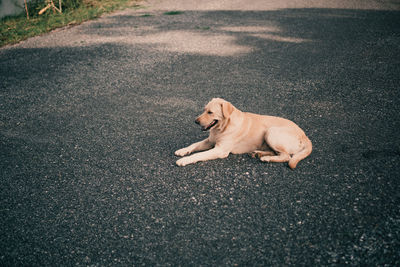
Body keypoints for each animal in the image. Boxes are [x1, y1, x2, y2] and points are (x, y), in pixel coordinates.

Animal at [176, 98, 312, 170]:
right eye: (204, 110)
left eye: (210, 112)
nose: (196, 121)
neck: (223, 127)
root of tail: (305, 135)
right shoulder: (210, 141)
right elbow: (193, 145)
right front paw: (182, 150)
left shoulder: (220, 150)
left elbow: (198, 154)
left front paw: (184, 160)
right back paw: (258, 153)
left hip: (271, 132)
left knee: (286, 156)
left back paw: (266, 158)